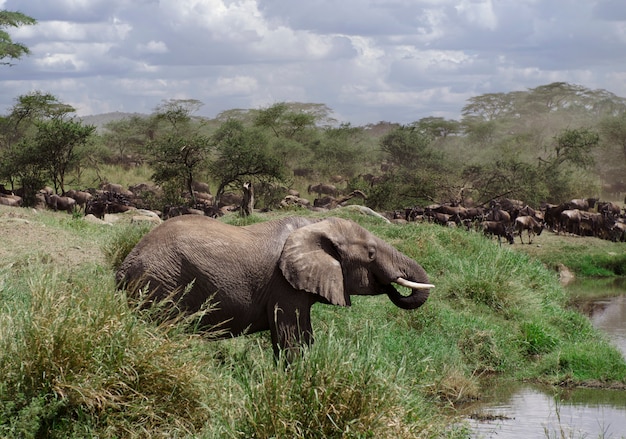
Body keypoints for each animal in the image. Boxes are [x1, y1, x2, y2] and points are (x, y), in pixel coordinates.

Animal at [114, 216, 432, 358]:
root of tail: (124, 266)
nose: (391, 284)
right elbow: (290, 337)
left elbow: (304, 334)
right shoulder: (283, 285)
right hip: (159, 284)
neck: (316, 226)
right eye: (371, 254)